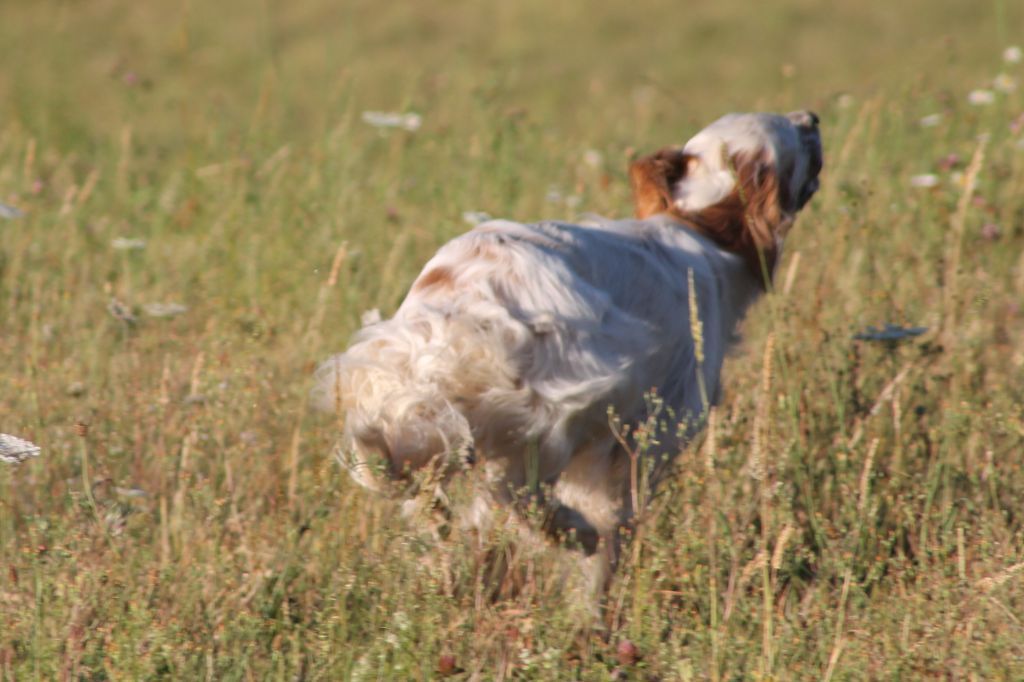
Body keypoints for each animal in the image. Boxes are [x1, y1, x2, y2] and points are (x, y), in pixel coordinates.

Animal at [313, 110, 823, 593]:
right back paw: (572, 533)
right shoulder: (638, 446)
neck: (702, 228)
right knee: (514, 491)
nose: (812, 117)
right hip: (569, 404)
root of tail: (465, 296)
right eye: (794, 137)